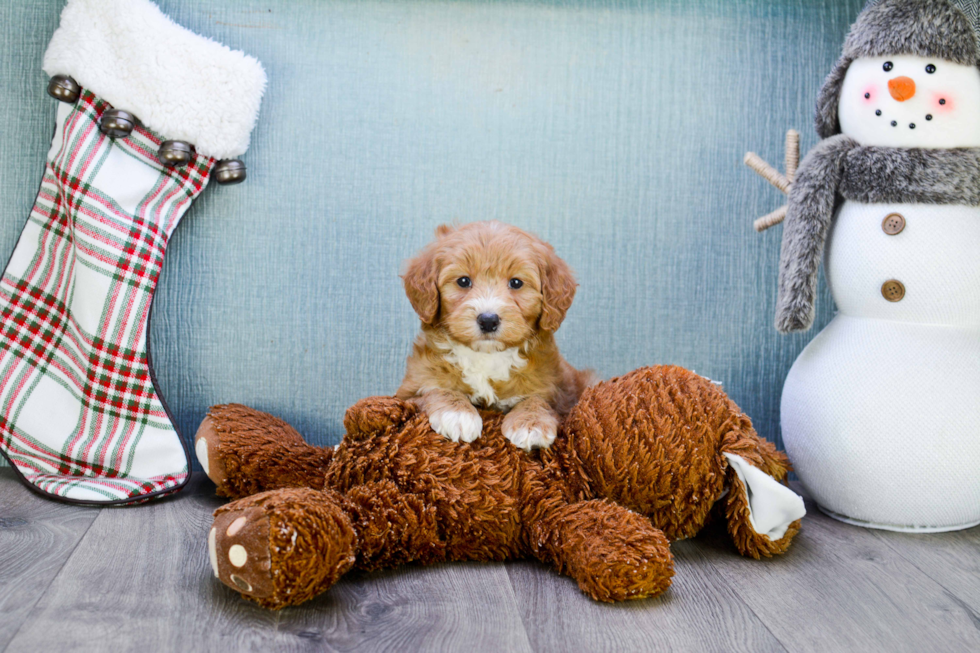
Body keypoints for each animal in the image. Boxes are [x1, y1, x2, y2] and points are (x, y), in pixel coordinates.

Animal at [394, 220, 592, 448]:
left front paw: (531, 423)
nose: (488, 320)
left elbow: (538, 399)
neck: (486, 356)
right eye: (463, 281)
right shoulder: (406, 395)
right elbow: (435, 389)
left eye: (516, 283)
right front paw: (457, 414)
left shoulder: (555, 393)